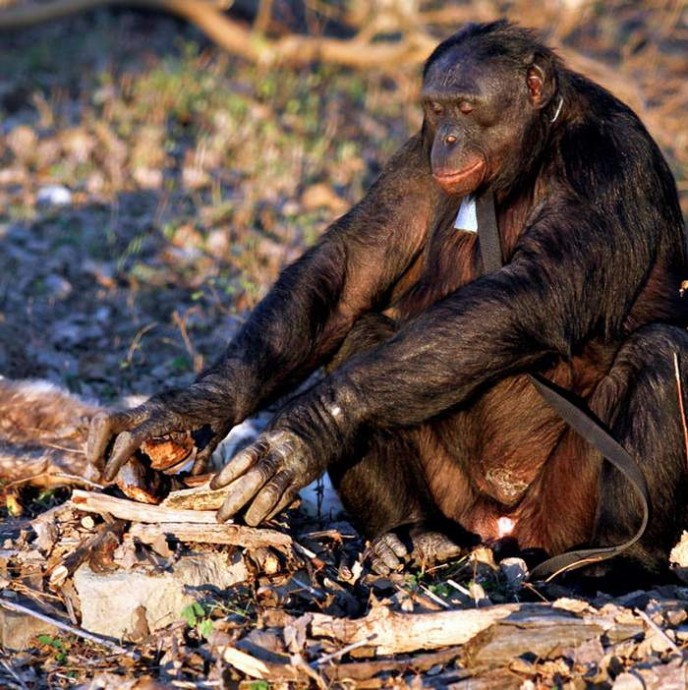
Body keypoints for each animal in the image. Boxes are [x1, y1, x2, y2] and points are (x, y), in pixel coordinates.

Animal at [88, 21, 688, 576]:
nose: (449, 138)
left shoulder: (605, 163)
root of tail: (501, 531)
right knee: (361, 332)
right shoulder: (416, 160)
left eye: (467, 108)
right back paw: (412, 531)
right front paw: (192, 407)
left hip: (561, 517)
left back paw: (625, 558)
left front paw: (308, 430)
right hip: (458, 504)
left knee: (663, 350)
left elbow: (540, 290)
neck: (532, 154)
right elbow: (352, 272)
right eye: (436, 108)